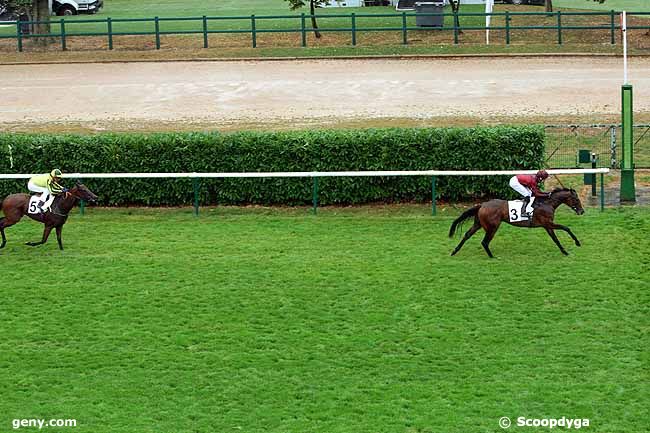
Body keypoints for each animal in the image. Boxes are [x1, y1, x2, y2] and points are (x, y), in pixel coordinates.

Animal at [450, 188, 584, 256]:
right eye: (577, 199)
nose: (582, 211)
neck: (547, 203)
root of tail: (482, 204)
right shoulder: (548, 223)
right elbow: (566, 228)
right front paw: (577, 243)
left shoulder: (547, 225)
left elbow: (555, 239)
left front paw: (564, 251)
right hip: (492, 226)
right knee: (484, 242)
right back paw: (492, 256)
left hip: (478, 224)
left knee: (467, 235)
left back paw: (454, 251)